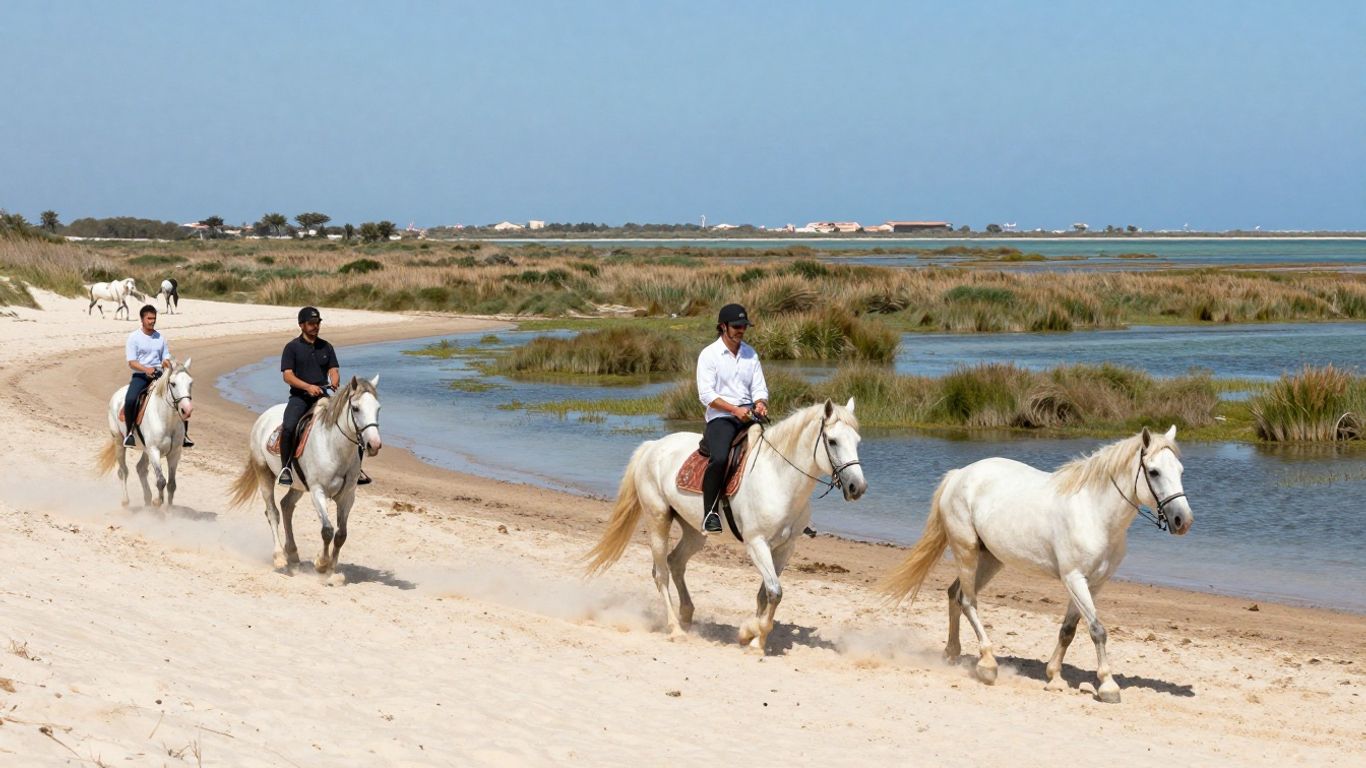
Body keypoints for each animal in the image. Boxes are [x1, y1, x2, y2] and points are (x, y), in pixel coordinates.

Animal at [95, 359, 195, 510]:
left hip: (145, 449)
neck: (166, 419)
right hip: (119, 441)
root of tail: (117, 394)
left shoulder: (174, 453)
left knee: (140, 468)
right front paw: (157, 502)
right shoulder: (154, 450)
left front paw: (169, 510)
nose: (186, 410)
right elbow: (161, 481)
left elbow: (172, 484)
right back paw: (126, 501)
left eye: (190, 383)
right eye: (173, 383)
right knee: (123, 471)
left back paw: (147, 500)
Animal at [228, 376, 382, 583]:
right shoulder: (318, 491)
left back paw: (293, 554)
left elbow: (341, 534)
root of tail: (263, 417)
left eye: (378, 408)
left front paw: (331, 571)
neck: (333, 447)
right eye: (356, 408)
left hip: (298, 485)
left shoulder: (347, 497)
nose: (374, 445)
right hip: (264, 473)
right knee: (272, 512)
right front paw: (321, 564)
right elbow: (327, 530)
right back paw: (279, 558)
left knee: (286, 506)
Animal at [585, 399, 867, 653]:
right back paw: (675, 628)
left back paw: (687, 615)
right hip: (658, 519)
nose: (858, 487)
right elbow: (775, 591)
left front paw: (755, 639)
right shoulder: (756, 544)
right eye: (833, 441)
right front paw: (750, 634)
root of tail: (653, 446)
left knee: (676, 562)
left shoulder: (785, 548)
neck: (778, 478)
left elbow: (767, 593)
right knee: (660, 573)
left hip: (695, 532)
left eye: (857, 442)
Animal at [880, 426, 1193, 704]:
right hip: (965, 551)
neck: (1094, 512)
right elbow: (1097, 630)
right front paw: (1108, 686)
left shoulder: (1093, 583)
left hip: (991, 559)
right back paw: (987, 665)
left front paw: (1054, 677)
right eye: (1154, 471)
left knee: (953, 595)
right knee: (967, 601)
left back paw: (952, 653)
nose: (1183, 520)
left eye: (1180, 471)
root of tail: (959, 475)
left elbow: (1068, 631)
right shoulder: (1074, 579)